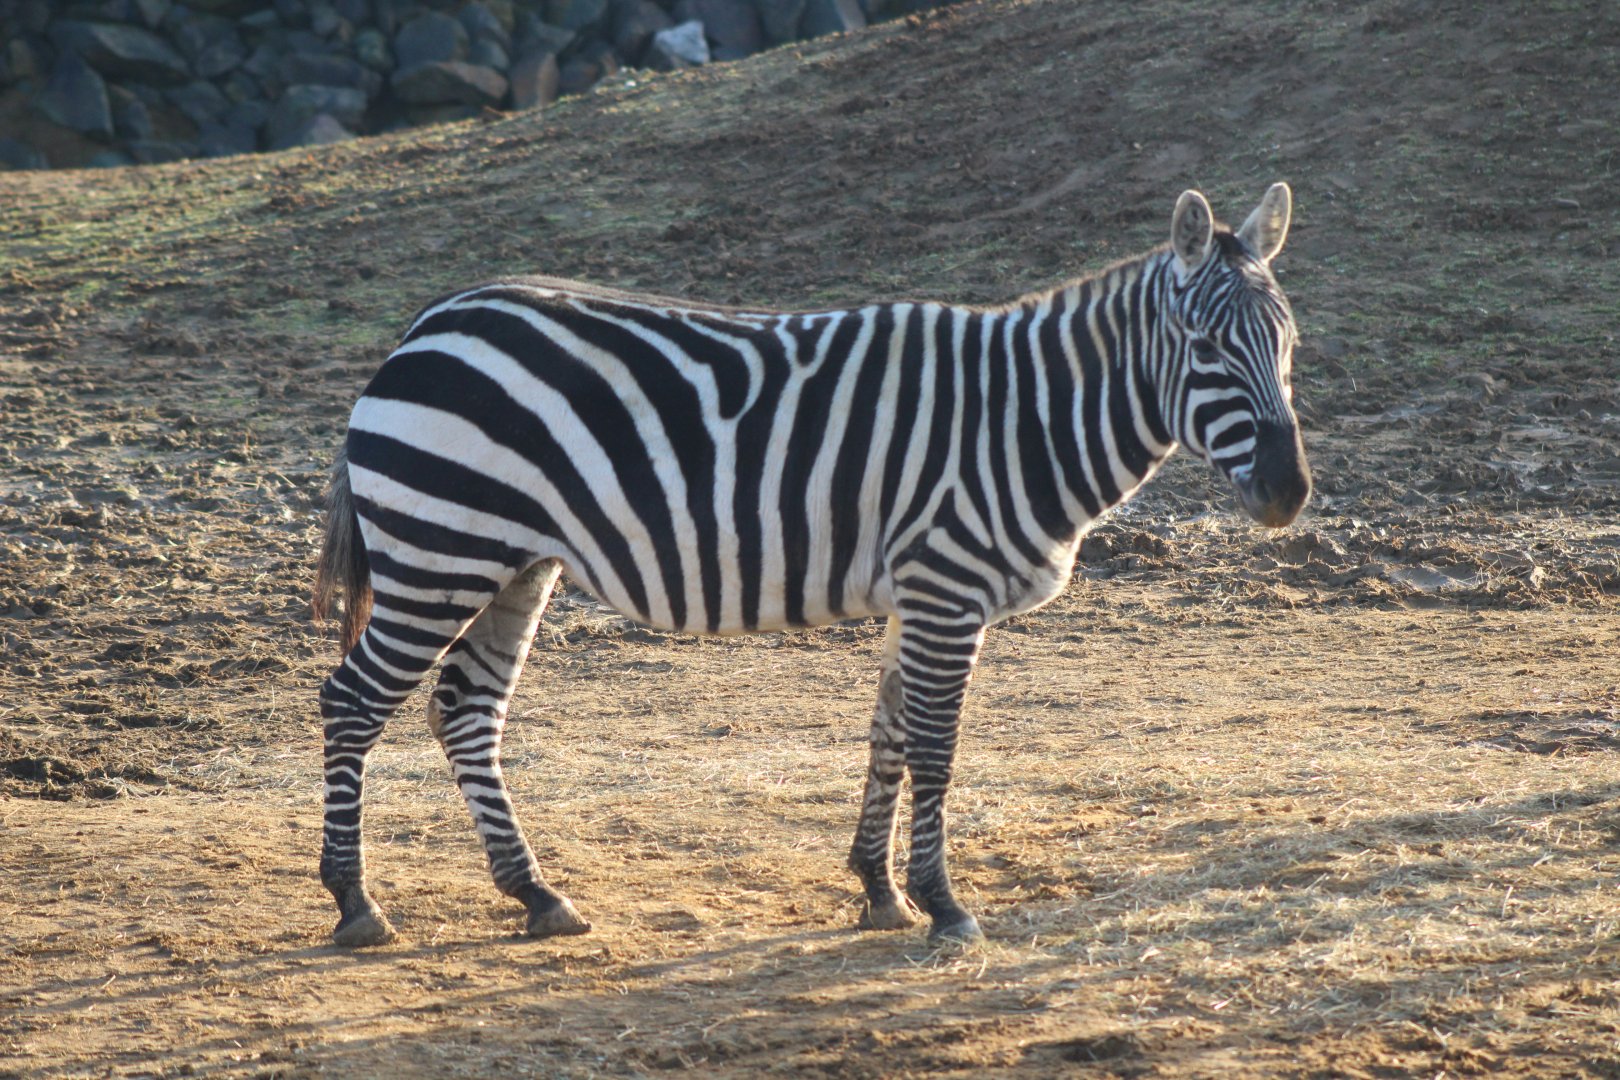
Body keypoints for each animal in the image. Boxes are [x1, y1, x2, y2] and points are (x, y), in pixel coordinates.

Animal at [312, 183, 1310, 947]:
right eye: (1207, 349)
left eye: (1289, 343)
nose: (1289, 493)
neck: (1023, 418)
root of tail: (426, 325)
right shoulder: (947, 588)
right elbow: (937, 746)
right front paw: (945, 905)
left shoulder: (920, 594)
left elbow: (891, 733)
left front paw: (878, 890)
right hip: (440, 552)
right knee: (352, 701)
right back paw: (356, 903)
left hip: (512, 563)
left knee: (464, 709)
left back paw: (536, 894)